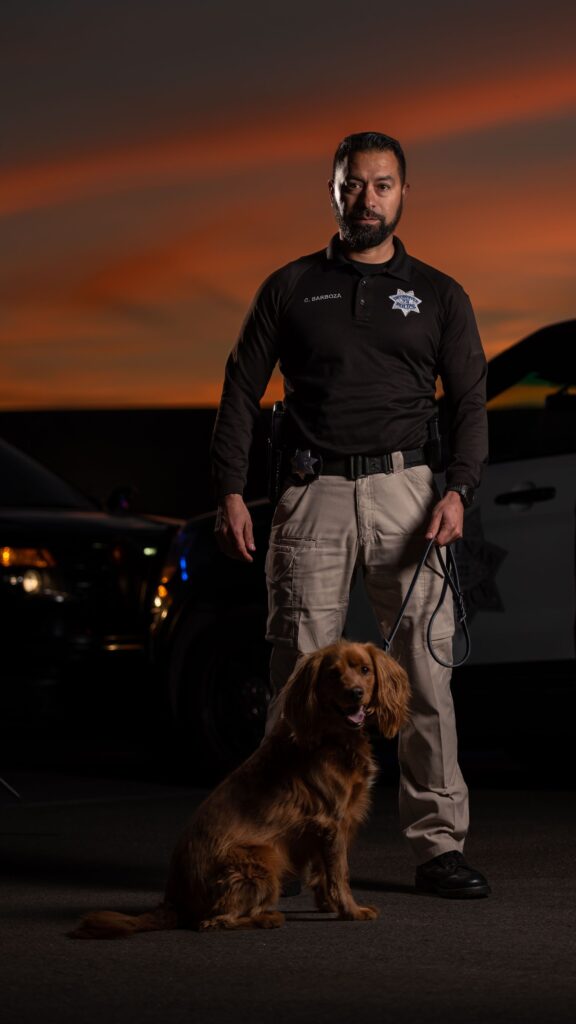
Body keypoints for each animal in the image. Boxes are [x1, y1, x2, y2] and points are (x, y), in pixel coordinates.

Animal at [70, 638, 407, 937]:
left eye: (365, 670)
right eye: (333, 674)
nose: (356, 693)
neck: (332, 736)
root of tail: (174, 901)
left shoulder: (324, 830)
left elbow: (324, 873)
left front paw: (328, 906)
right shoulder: (332, 822)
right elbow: (340, 873)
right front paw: (351, 911)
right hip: (263, 858)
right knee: (212, 922)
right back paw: (268, 917)